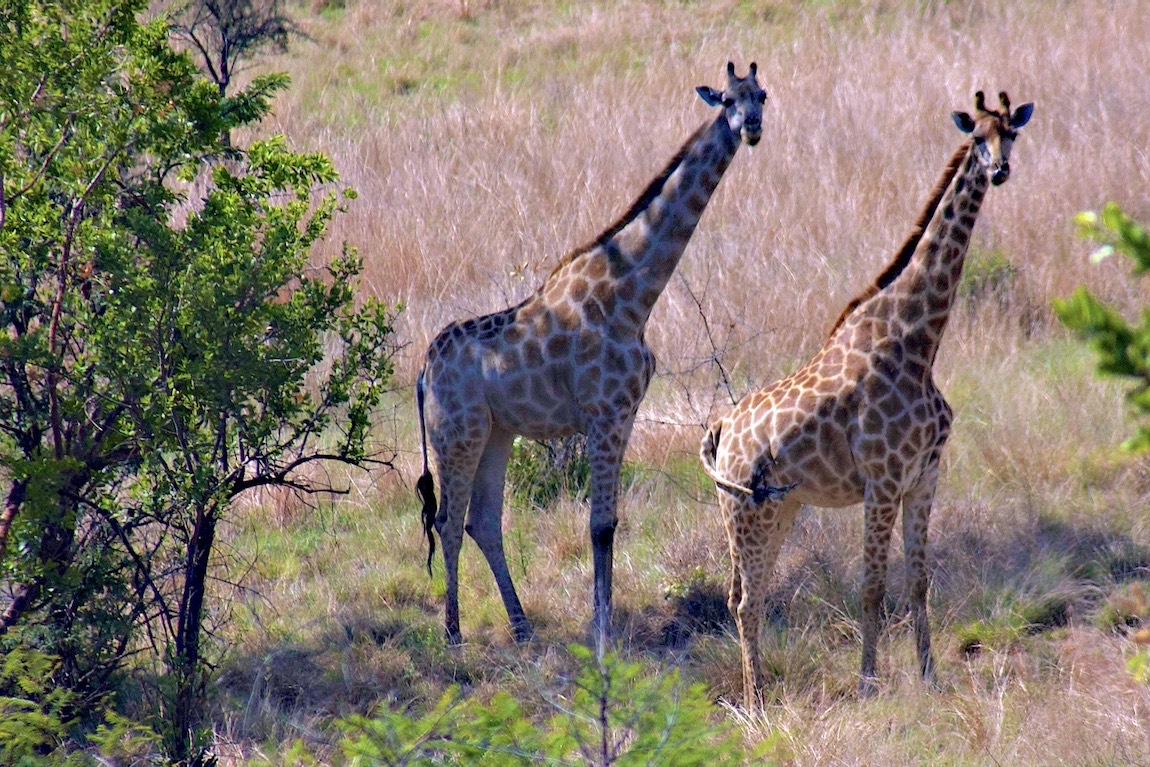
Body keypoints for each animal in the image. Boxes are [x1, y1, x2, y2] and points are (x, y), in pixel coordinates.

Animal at [416, 62, 771, 655]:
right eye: (726, 99)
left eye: (762, 94)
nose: (751, 127)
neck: (634, 294)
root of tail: (422, 372)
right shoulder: (604, 414)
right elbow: (599, 525)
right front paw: (602, 634)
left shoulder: (624, 415)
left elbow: (611, 522)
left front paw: (602, 623)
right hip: (457, 433)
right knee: (447, 520)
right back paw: (453, 634)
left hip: (496, 433)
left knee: (482, 521)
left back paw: (522, 628)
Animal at [700, 91, 1034, 705]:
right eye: (976, 137)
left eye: (1012, 135)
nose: (999, 170)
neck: (919, 341)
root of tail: (721, 430)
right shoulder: (882, 481)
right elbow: (873, 587)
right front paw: (868, 684)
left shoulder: (925, 476)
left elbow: (919, 582)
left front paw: (929, 677)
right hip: (745, 511)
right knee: (745, 600)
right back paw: (757, 702)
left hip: (777, 507)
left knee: (744, 594)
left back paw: (757, 694)